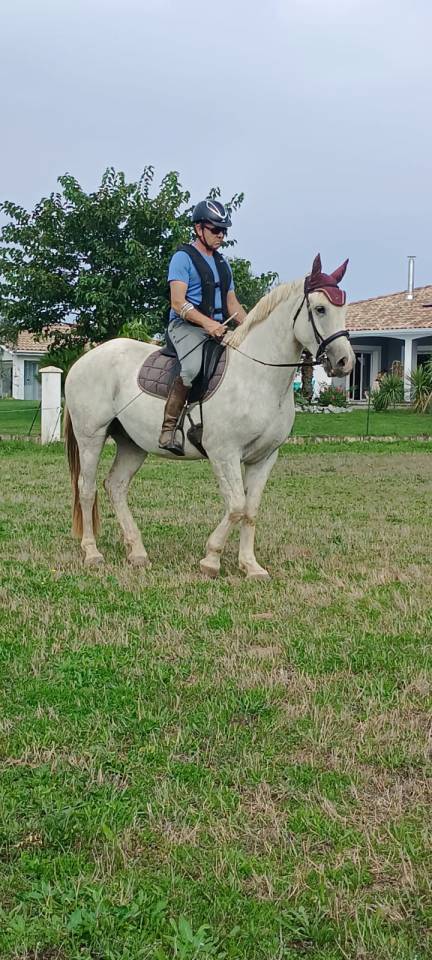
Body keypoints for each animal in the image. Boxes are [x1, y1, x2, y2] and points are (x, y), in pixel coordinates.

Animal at [64, 254, 354, 578]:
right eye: (320, 308)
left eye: (344, 308)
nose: (345, 361)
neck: (257, 375)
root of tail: (84, 360)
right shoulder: (224, 453)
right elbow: (236, 505)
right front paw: (211, 559)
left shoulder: (264, 457)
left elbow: (250, 510)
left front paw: (250, 565)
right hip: (91, 437)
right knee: (86, 489)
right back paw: (92, 553)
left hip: (132, 444)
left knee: (115, 486)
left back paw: (137, 552)